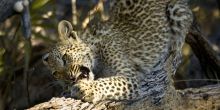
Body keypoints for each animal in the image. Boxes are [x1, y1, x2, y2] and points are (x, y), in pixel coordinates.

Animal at [41, 0, 192, 105]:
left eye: (64, 57)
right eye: (56, 74)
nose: (71, 79)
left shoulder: (130, 77)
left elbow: (109, 82)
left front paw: (86, 89)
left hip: (177, 10)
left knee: (179, 45)